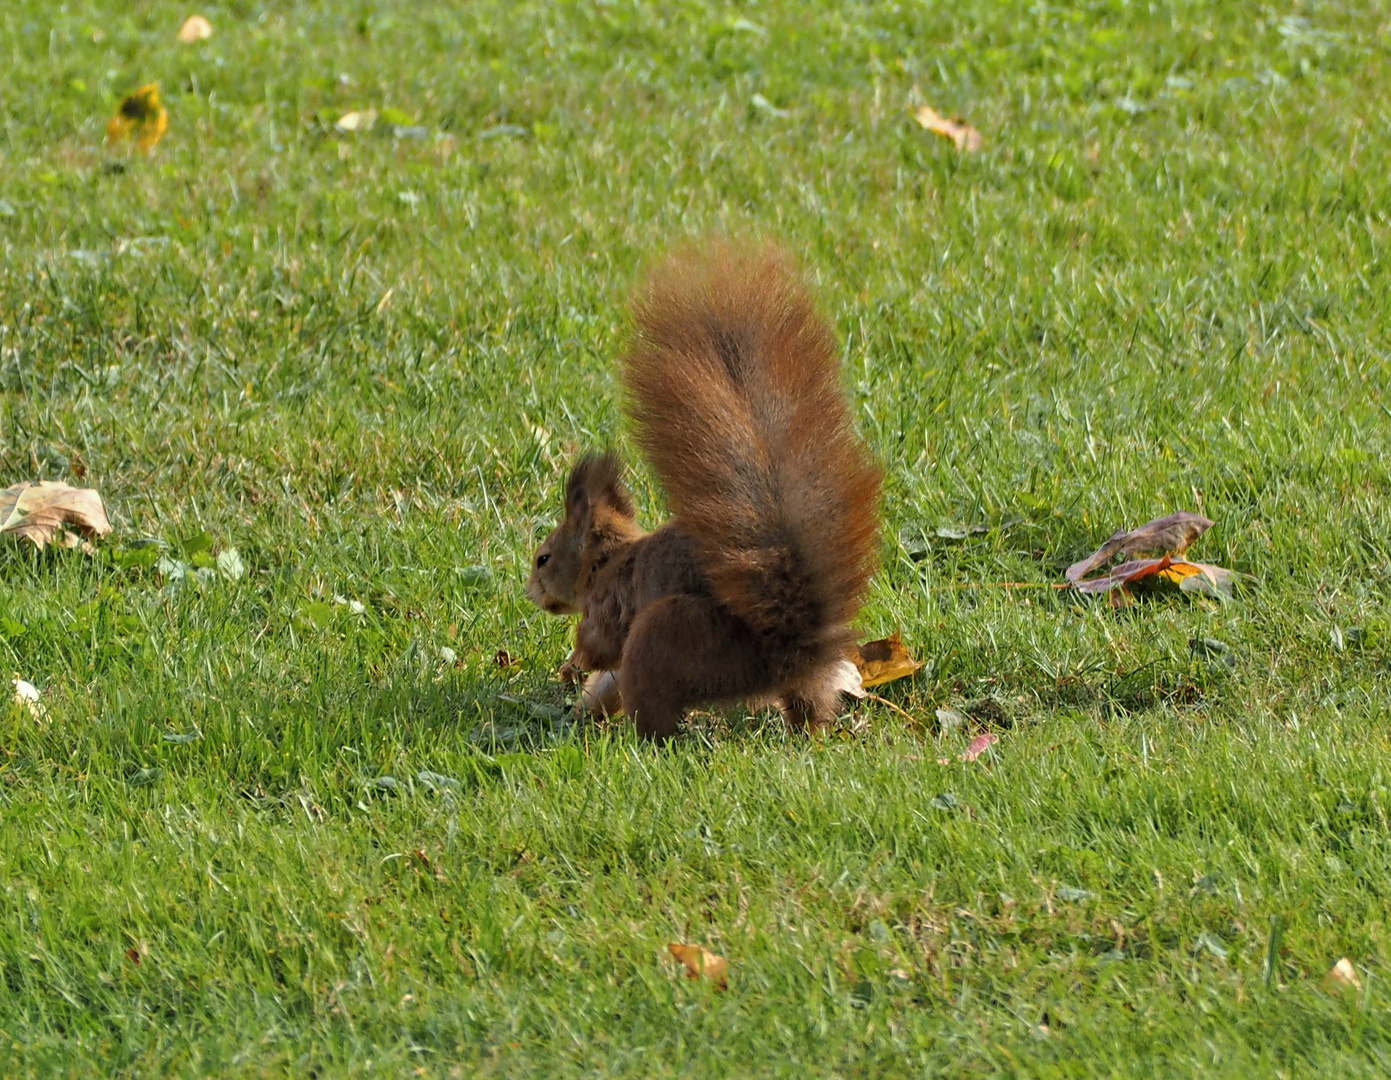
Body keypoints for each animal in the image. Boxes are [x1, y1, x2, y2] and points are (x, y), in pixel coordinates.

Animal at [523, 240, 879, 740]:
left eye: (543, 559)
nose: (530, 593)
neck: (605, 560)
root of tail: (788, 649)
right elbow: (606, 680)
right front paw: (580, 707)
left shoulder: (609, 607)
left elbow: (600, 648)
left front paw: (573, 664)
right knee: (810, 706)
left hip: (666, 636)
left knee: (653, 711)